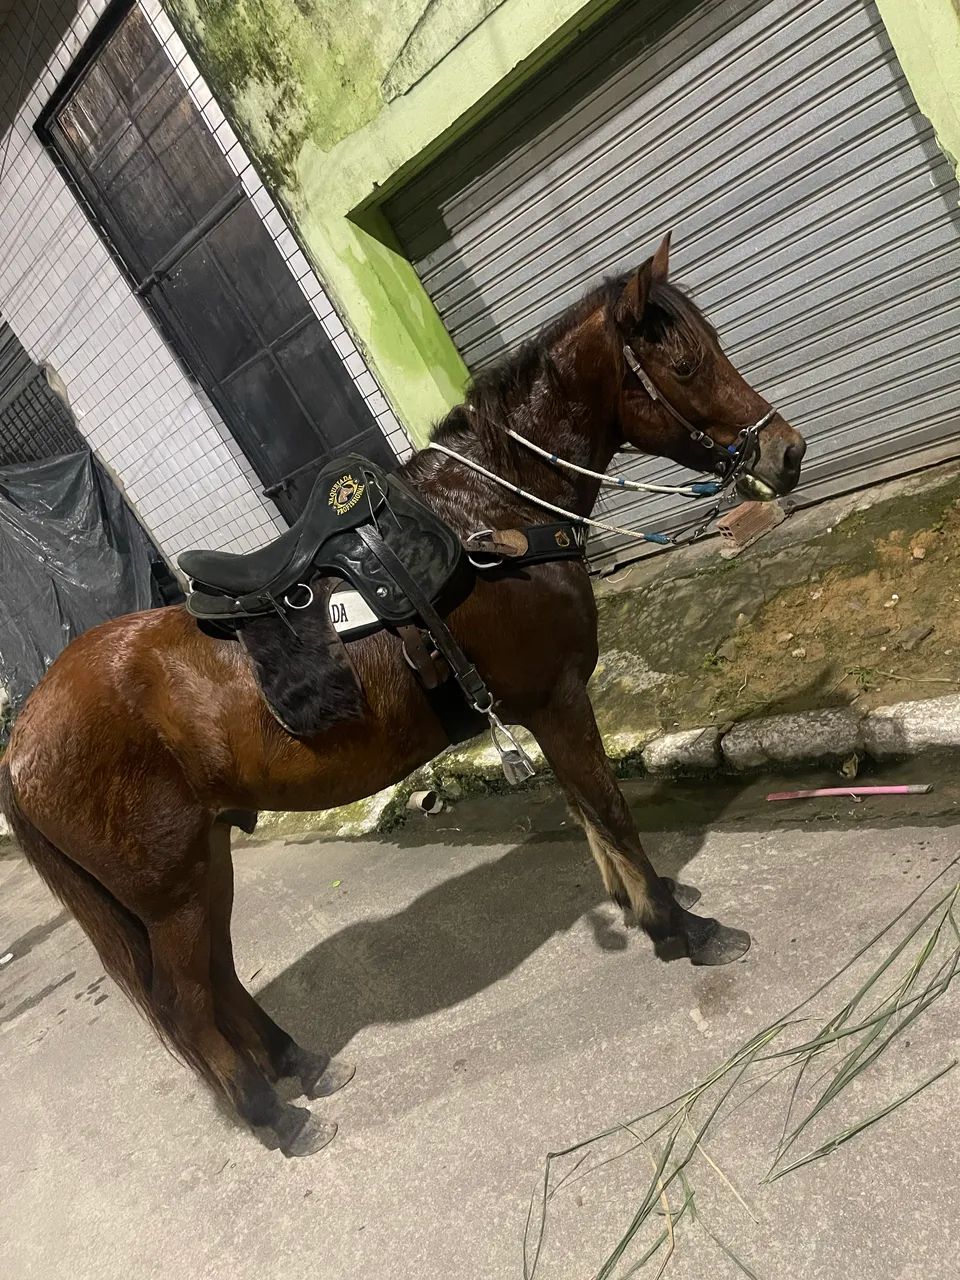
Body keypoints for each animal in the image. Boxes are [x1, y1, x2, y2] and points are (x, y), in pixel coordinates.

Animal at [0, 235, 806, 1157]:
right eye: (685, 361)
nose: (786, 453)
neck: (492, 517)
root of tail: (21, 743)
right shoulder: (559, 699)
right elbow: (613, 814)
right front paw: (682, 929)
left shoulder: (544, 707)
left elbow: (592, 819)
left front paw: (644, 913)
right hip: (169, 891)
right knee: (187, 1003)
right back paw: (276, 1117)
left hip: (202, 861)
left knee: (220, 979)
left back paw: (303, 1064)